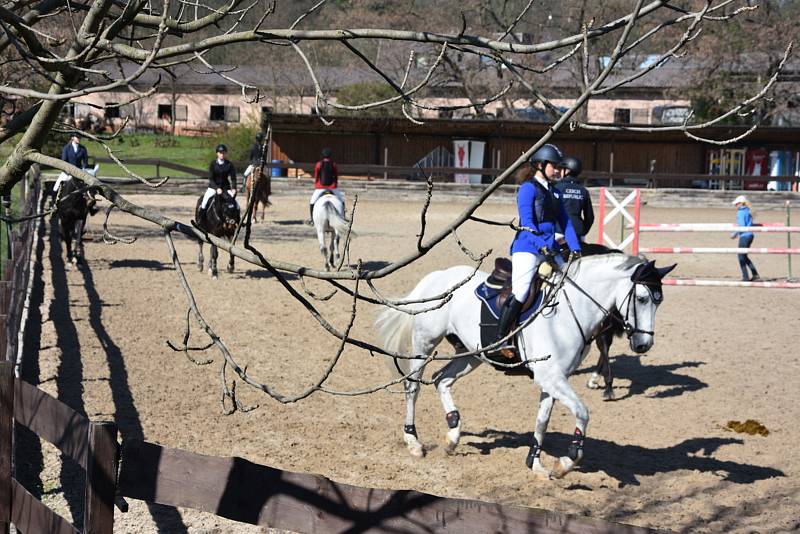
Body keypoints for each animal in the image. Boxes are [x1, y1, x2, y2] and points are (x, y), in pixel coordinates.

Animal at [376, 255, 676, 482]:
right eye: (642, 298)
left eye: (659, 300)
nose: (643, 344)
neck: (570, 311)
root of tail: (438, 276)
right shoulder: (551, 377)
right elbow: (582, 412)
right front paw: (566, 462)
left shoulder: (554, 378)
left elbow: (542, 420)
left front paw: (535, 464)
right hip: (425, 344)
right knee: (413, 387)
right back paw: (413, 442)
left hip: (472, 354)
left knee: (442, 380)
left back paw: (453, 436)